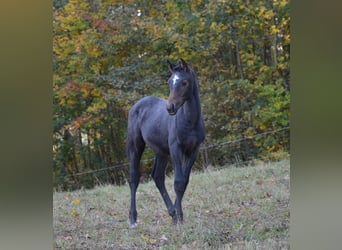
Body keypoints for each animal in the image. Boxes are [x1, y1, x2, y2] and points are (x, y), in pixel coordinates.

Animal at [126, 59, 204, 229]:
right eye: (169, 82)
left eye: (184, 82)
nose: (170, 108)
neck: (189, 122)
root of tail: (137, 105)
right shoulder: (176, 149)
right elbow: (178, 182)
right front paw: (180, 218)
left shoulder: (193, 151)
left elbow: (184, 182)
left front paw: (177, 216)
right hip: (135, 147)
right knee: (134, 178)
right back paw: (133, 219)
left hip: (161, 152)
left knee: (157, 176)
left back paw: (171, 213)